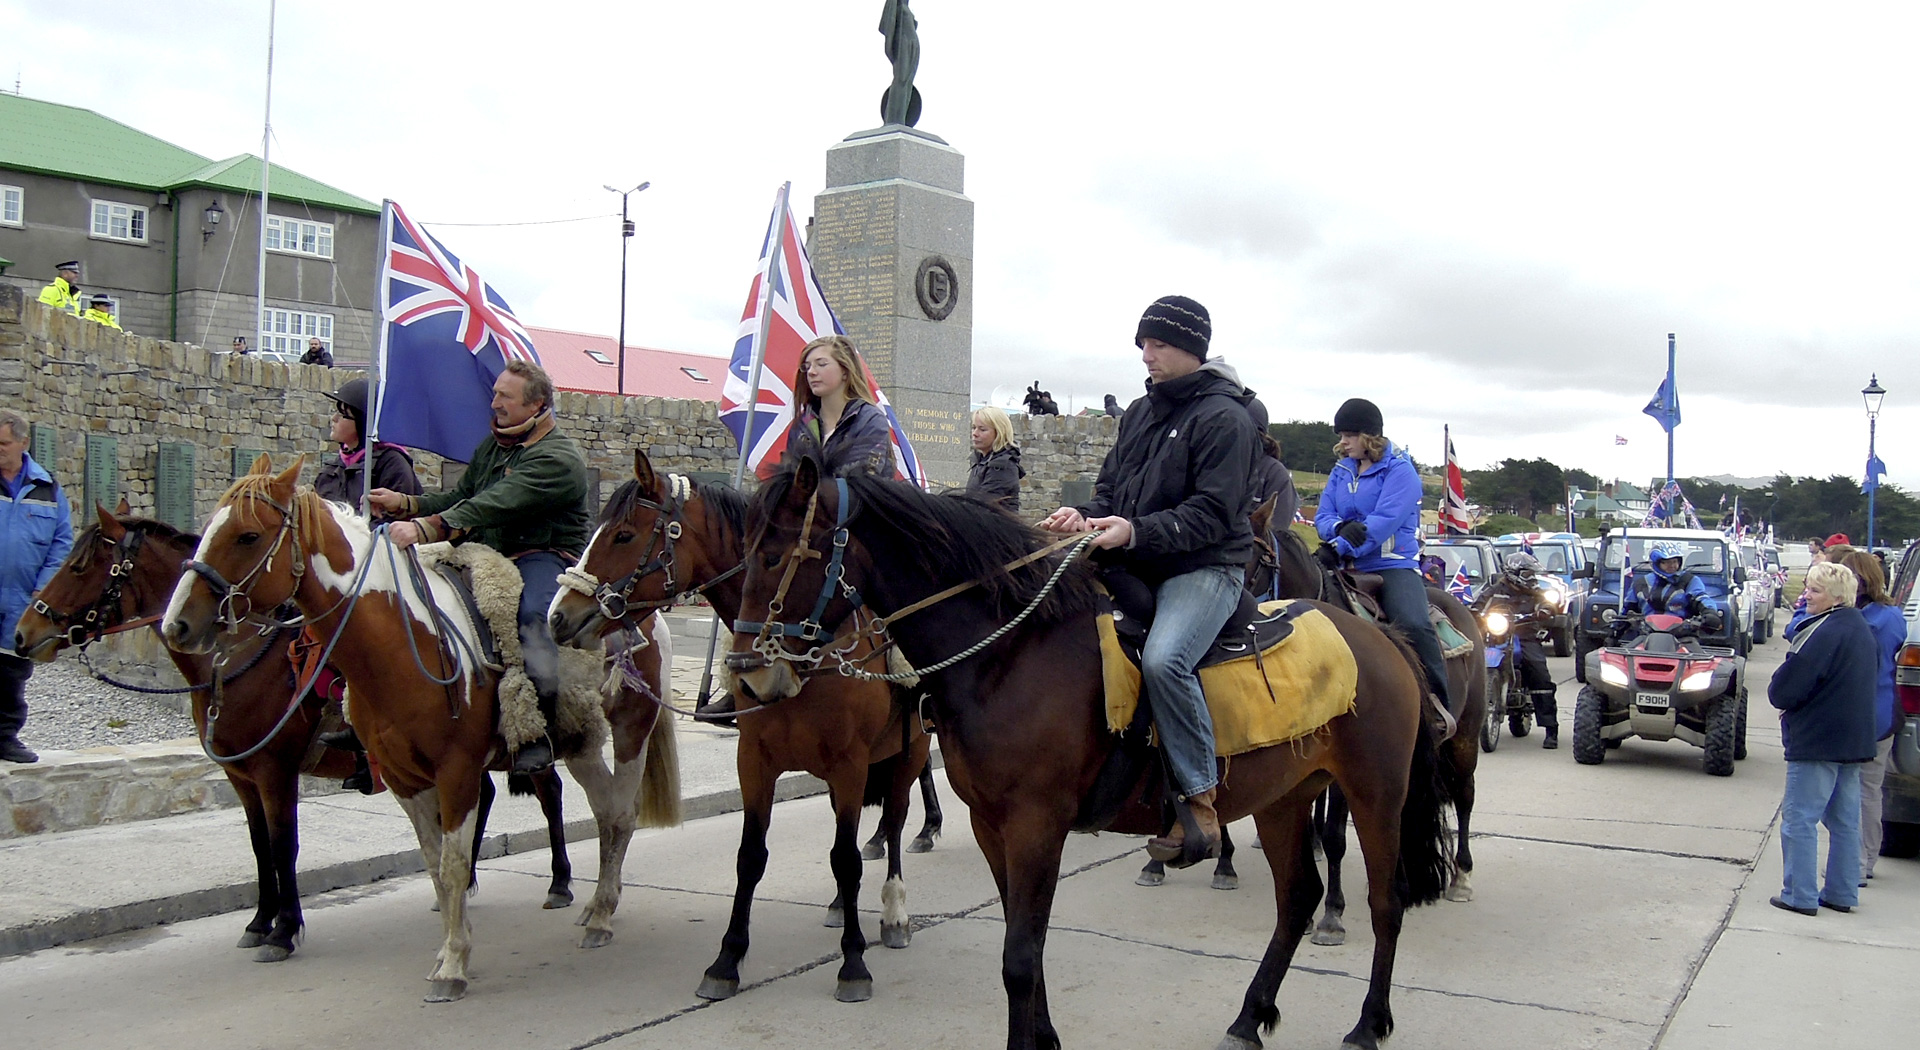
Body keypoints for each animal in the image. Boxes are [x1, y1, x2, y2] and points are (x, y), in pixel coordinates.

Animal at [9, 502, 576, 959]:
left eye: (79, 564)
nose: (23, 633)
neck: (240, 658)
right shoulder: (241, 776)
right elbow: (261, 846)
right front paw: (260, 922)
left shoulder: (274, 771)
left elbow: (285, 845)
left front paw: (284, 930)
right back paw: (467, 888)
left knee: (550, 792)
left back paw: (559, 883)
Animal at [159, 462, 683, 1005]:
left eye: (247, 535)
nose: (177, 624)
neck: (401, 641)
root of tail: (647, 620)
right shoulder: (402, 779)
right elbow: (434, 865)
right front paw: (446, 949)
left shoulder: (453, 772)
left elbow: (452, 862)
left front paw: (453, 965)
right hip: (580, 745)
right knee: (602, 813)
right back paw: (592, 905)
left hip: (630, 733)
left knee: (620, 815)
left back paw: (600, 917)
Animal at [545, 447, 933, 1005]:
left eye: (623, 535)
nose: (559, 616)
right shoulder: (755, 762)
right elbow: (752, 857)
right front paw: (726, 960)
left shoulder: (851, 763)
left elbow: (848, 858)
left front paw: (854, 963)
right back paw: (841, 906)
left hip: (911, 749)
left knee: (897, 819)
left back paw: (895, 911)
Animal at [725, 464, 1443, 1050]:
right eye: (744, 554)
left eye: (778, 553)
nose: (748, 675)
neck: (1009, 652)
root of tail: (1383, 639)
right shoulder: (992, 825)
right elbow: (1027, 943)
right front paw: (1045, 1039)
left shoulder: (1036, 823)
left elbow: (1020, 957)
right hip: (1286, 799)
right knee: (1297, 898)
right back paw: (1248, 1018)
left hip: (1376, 794)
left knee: (1386, 902)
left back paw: (1369, 1024)